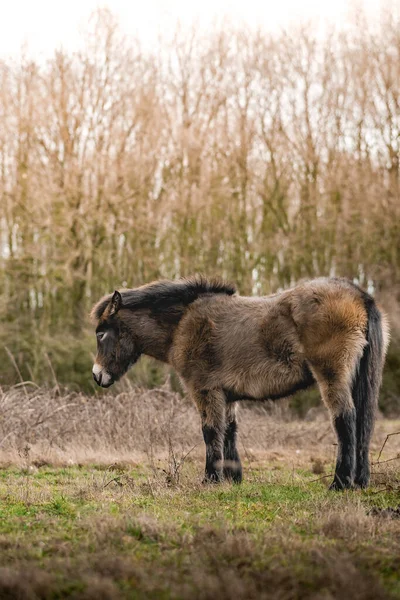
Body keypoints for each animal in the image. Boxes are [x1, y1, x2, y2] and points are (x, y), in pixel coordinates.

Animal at [90, 276, 388, 488]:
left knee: (346, 418)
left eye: (101, 333)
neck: (182, 324)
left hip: (331, 375)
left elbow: (211, 431)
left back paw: (340, 483)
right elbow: (229, 431)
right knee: (364, 421)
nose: (97, 375)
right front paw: (233, 479)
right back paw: (360, 481)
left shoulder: (204, 390)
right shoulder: (227, 395)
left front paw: (210, 479)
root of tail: (360, 295)